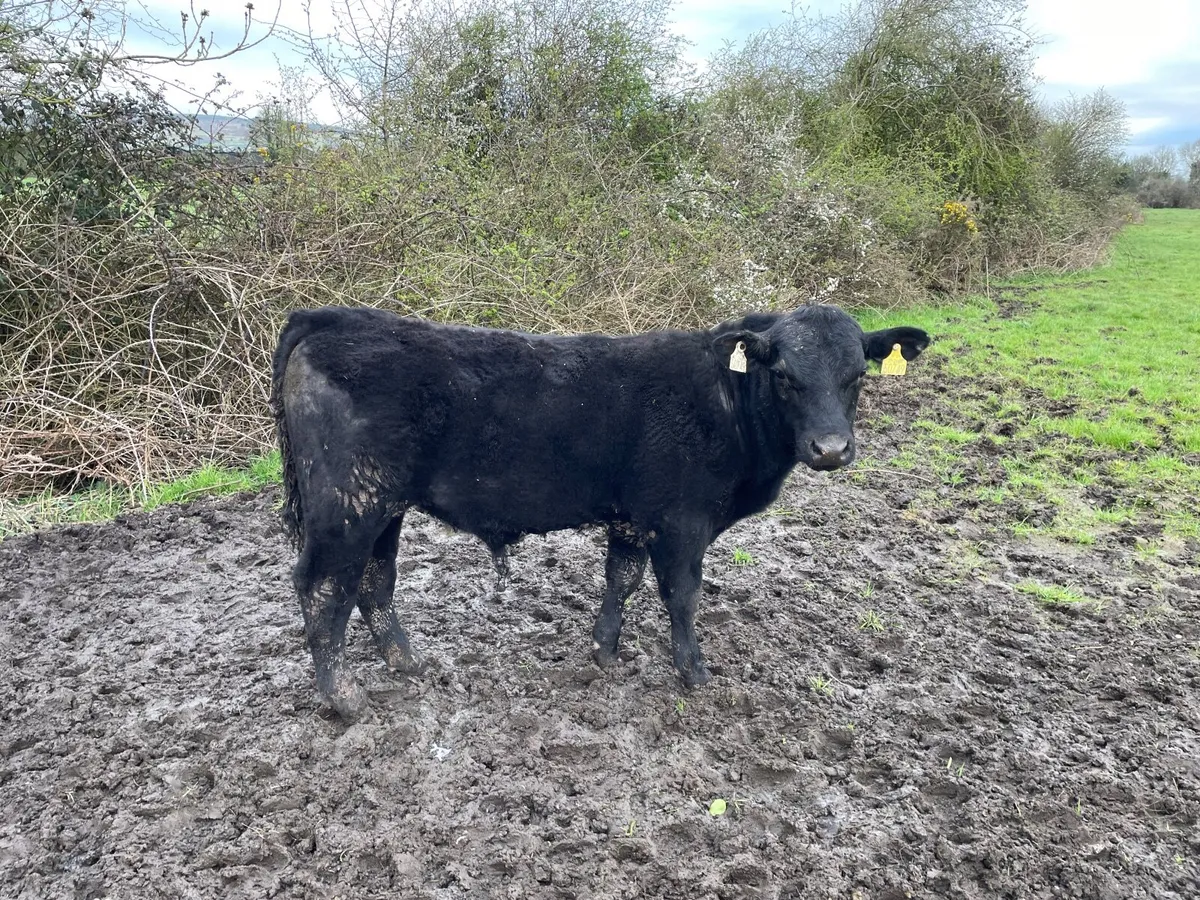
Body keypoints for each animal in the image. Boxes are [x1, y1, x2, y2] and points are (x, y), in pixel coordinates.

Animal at [270, 304, 930, 718]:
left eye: (858, 374)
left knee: (374, 581)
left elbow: (622, 579)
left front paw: (604, 652)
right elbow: (682, 596)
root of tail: (330, 317)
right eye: (786, 376)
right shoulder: (682, 522)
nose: (831, 449)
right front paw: (694, 673)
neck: (725, 401)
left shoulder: (632, 516)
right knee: (322, 586)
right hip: (347, 506)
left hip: (384, 507)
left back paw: (409, 663)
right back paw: (343, 697)